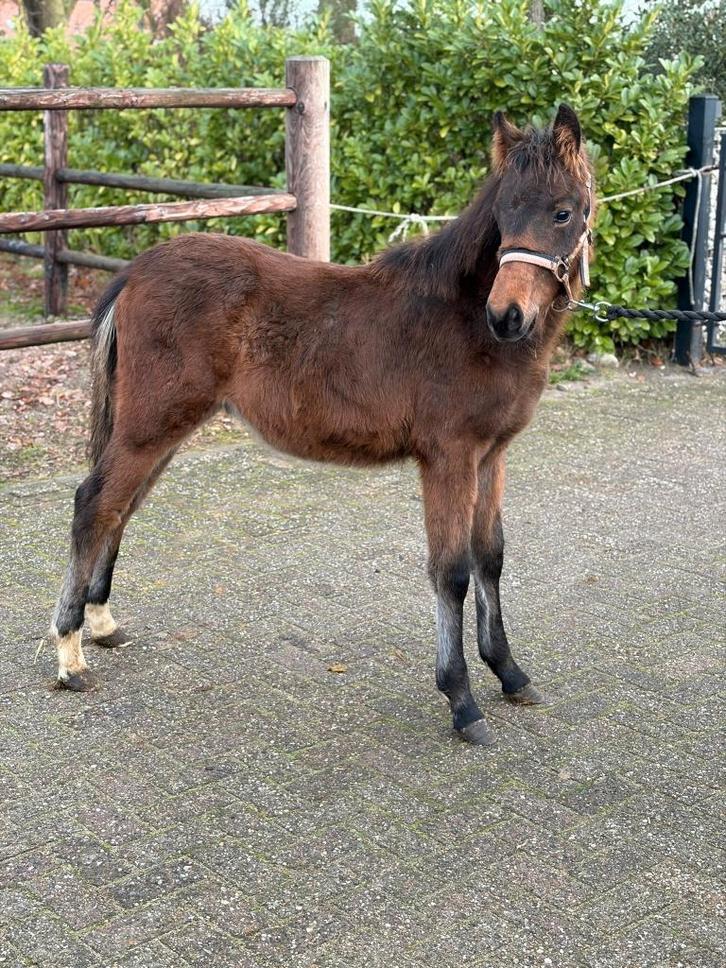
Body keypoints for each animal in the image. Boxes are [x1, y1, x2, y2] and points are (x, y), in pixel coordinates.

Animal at [49, 104, 594, 746]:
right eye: (504, 216)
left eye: (563, 212)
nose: (507, 315)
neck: (462, 319)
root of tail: (134, 272)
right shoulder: (450, 456)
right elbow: (452, 571)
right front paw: (462, 702)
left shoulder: (493, 454)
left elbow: (490, 556)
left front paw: (509, 673)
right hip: (151, 422)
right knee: (94, 503)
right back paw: (69, 657)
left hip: (163, 426)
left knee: (119, 507)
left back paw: (101, 624)